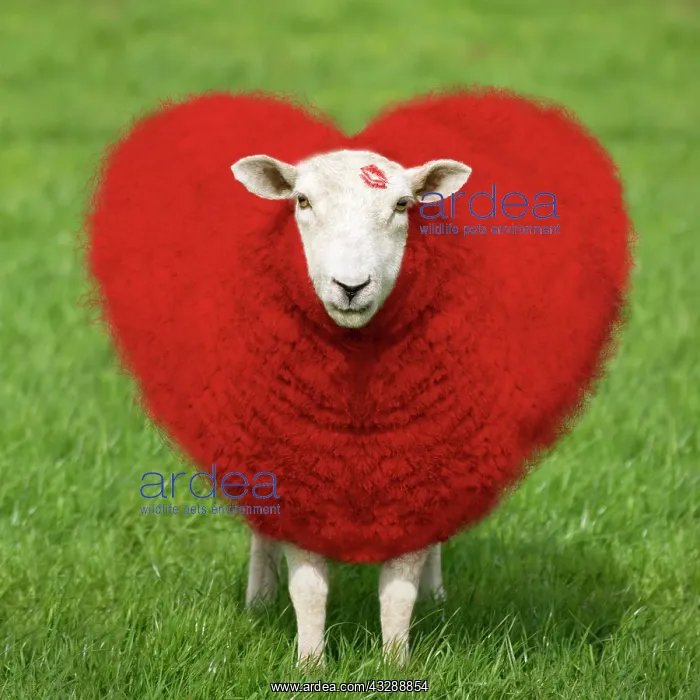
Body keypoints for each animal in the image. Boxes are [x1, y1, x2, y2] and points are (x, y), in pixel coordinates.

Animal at [231, 149, 471, 665]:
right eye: (302, 200)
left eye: (402, 205)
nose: (351, 286)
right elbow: (308, 588)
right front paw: (310, 663)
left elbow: (398, 592)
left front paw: (396, 662)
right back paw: (259, 600)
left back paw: (438, 596)